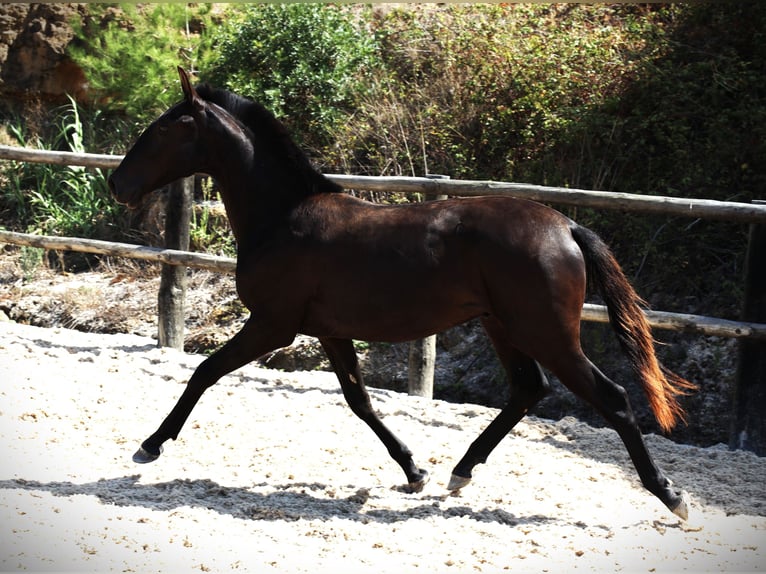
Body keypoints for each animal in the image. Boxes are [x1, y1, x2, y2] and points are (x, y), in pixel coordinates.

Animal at [109, 67, 704, 520]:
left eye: (161, 131)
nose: (117, 185)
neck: (282, 218)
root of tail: (567, 228)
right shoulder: (328, 331)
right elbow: (359, 400)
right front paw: (414, 470)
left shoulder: (273, 324)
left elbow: (204, 371)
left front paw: (149, 446)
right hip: (503, 324)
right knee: (528, 389)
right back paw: (460, 473)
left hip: (547, 332)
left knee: (612, 398)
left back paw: (671, 497)